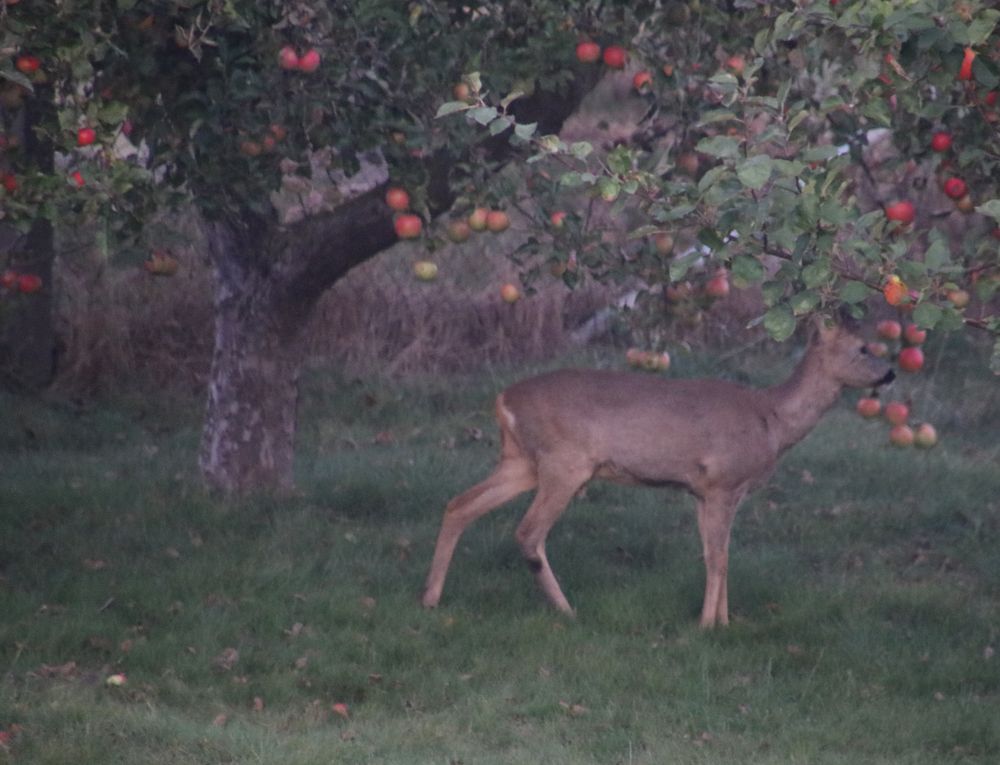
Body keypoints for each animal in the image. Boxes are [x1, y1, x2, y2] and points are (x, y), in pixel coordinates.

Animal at [426, 320, 896, 624]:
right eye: (862, 347)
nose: (890, 372)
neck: (771, 419)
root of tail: (503, 400)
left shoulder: (705, 491)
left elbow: (716, 554)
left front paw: (724, 621)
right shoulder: (723, 481)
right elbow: (720, 557)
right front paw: (708, 626)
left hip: (521, 461)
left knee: (459, 504)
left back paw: (430, 598)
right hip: (565, 461)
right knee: (527, 531)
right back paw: (567, 610)